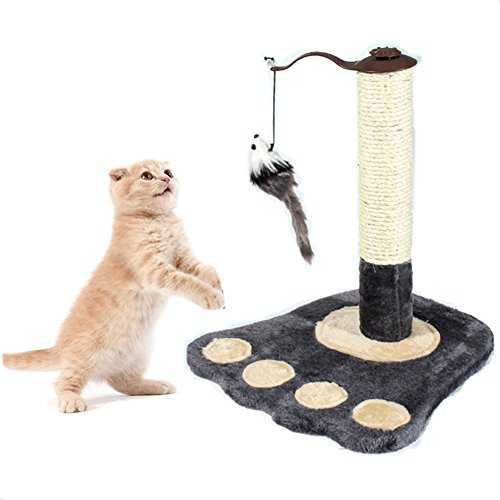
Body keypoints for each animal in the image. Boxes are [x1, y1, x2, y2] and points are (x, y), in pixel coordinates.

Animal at [3, 160, 224, 413]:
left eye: (168, 172)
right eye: (147, 176)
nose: (166, 178)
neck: (158, 220)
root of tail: (60, 347)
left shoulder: (184, 258)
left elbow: (205, 269)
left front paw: (218, 286)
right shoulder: (154, 270)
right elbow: (186, 281)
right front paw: (211, 296)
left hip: (139, 354)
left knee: (123, 381)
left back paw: (155, 385)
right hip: (85, 356)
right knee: (63, 381)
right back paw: (71, 400)